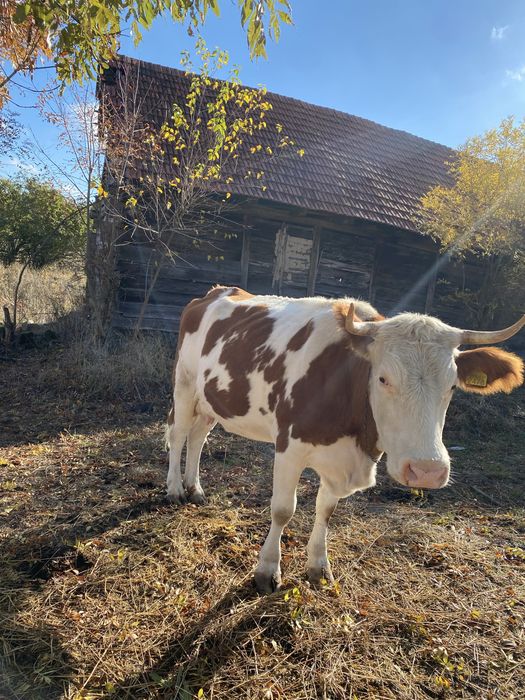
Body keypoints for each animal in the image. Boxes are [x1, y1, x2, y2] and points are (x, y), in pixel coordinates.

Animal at [166, 286, 525, 593]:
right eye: (382, 379)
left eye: (452, 385)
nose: (427, 471)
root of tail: (214, 292)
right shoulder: (289, 447)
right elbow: (283, 510)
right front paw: (267, 571)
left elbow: (326, 510)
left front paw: (318, 567)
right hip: (184, 384)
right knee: (180, 433)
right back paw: (175, 489)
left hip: (212, 398)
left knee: (199, 437)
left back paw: (195, 488)